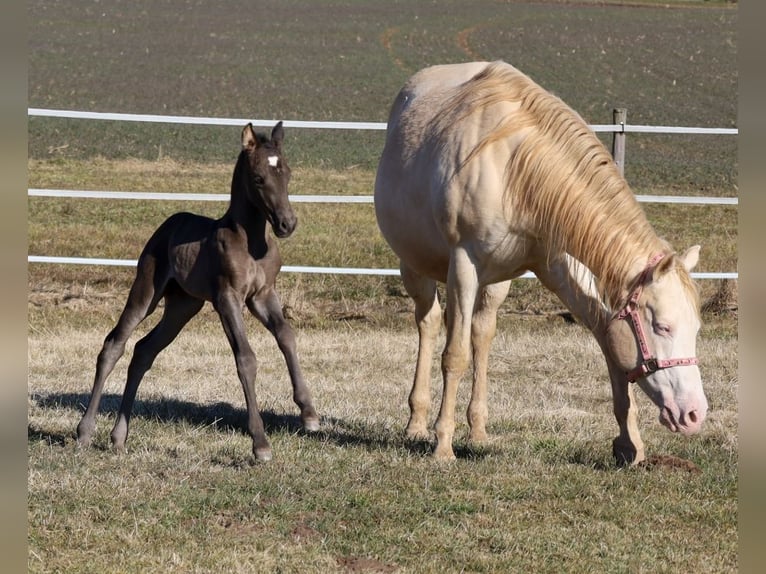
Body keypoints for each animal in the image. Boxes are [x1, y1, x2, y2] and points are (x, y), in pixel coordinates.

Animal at [376, 60, 712, 466]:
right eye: (662, 326)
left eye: (696, 328)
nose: (694, 414)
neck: (515, 167)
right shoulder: (463, 266)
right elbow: (453, 356)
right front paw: (442, 445)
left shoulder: (557, 266)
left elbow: (608, 343)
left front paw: (629, 444)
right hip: (416, 266)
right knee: (428, 324)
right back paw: (417, 423)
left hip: (496, 282)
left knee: (481, 334)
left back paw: (478, 430)